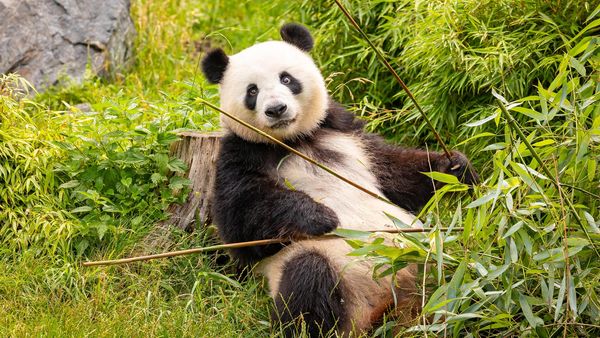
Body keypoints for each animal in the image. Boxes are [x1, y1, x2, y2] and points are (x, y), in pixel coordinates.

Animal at [202, 23, 478, 336]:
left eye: (286, 78)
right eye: (252, 91)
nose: (276, 110)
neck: (294, 140)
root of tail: (390, 307)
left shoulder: (344, 130)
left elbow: (395, 171)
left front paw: (455, 167)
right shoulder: (241, 152)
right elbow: (240, 223)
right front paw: (319, 215)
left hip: (433, 263)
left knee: (464, 277)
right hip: (339, 277)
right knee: (308, 281)